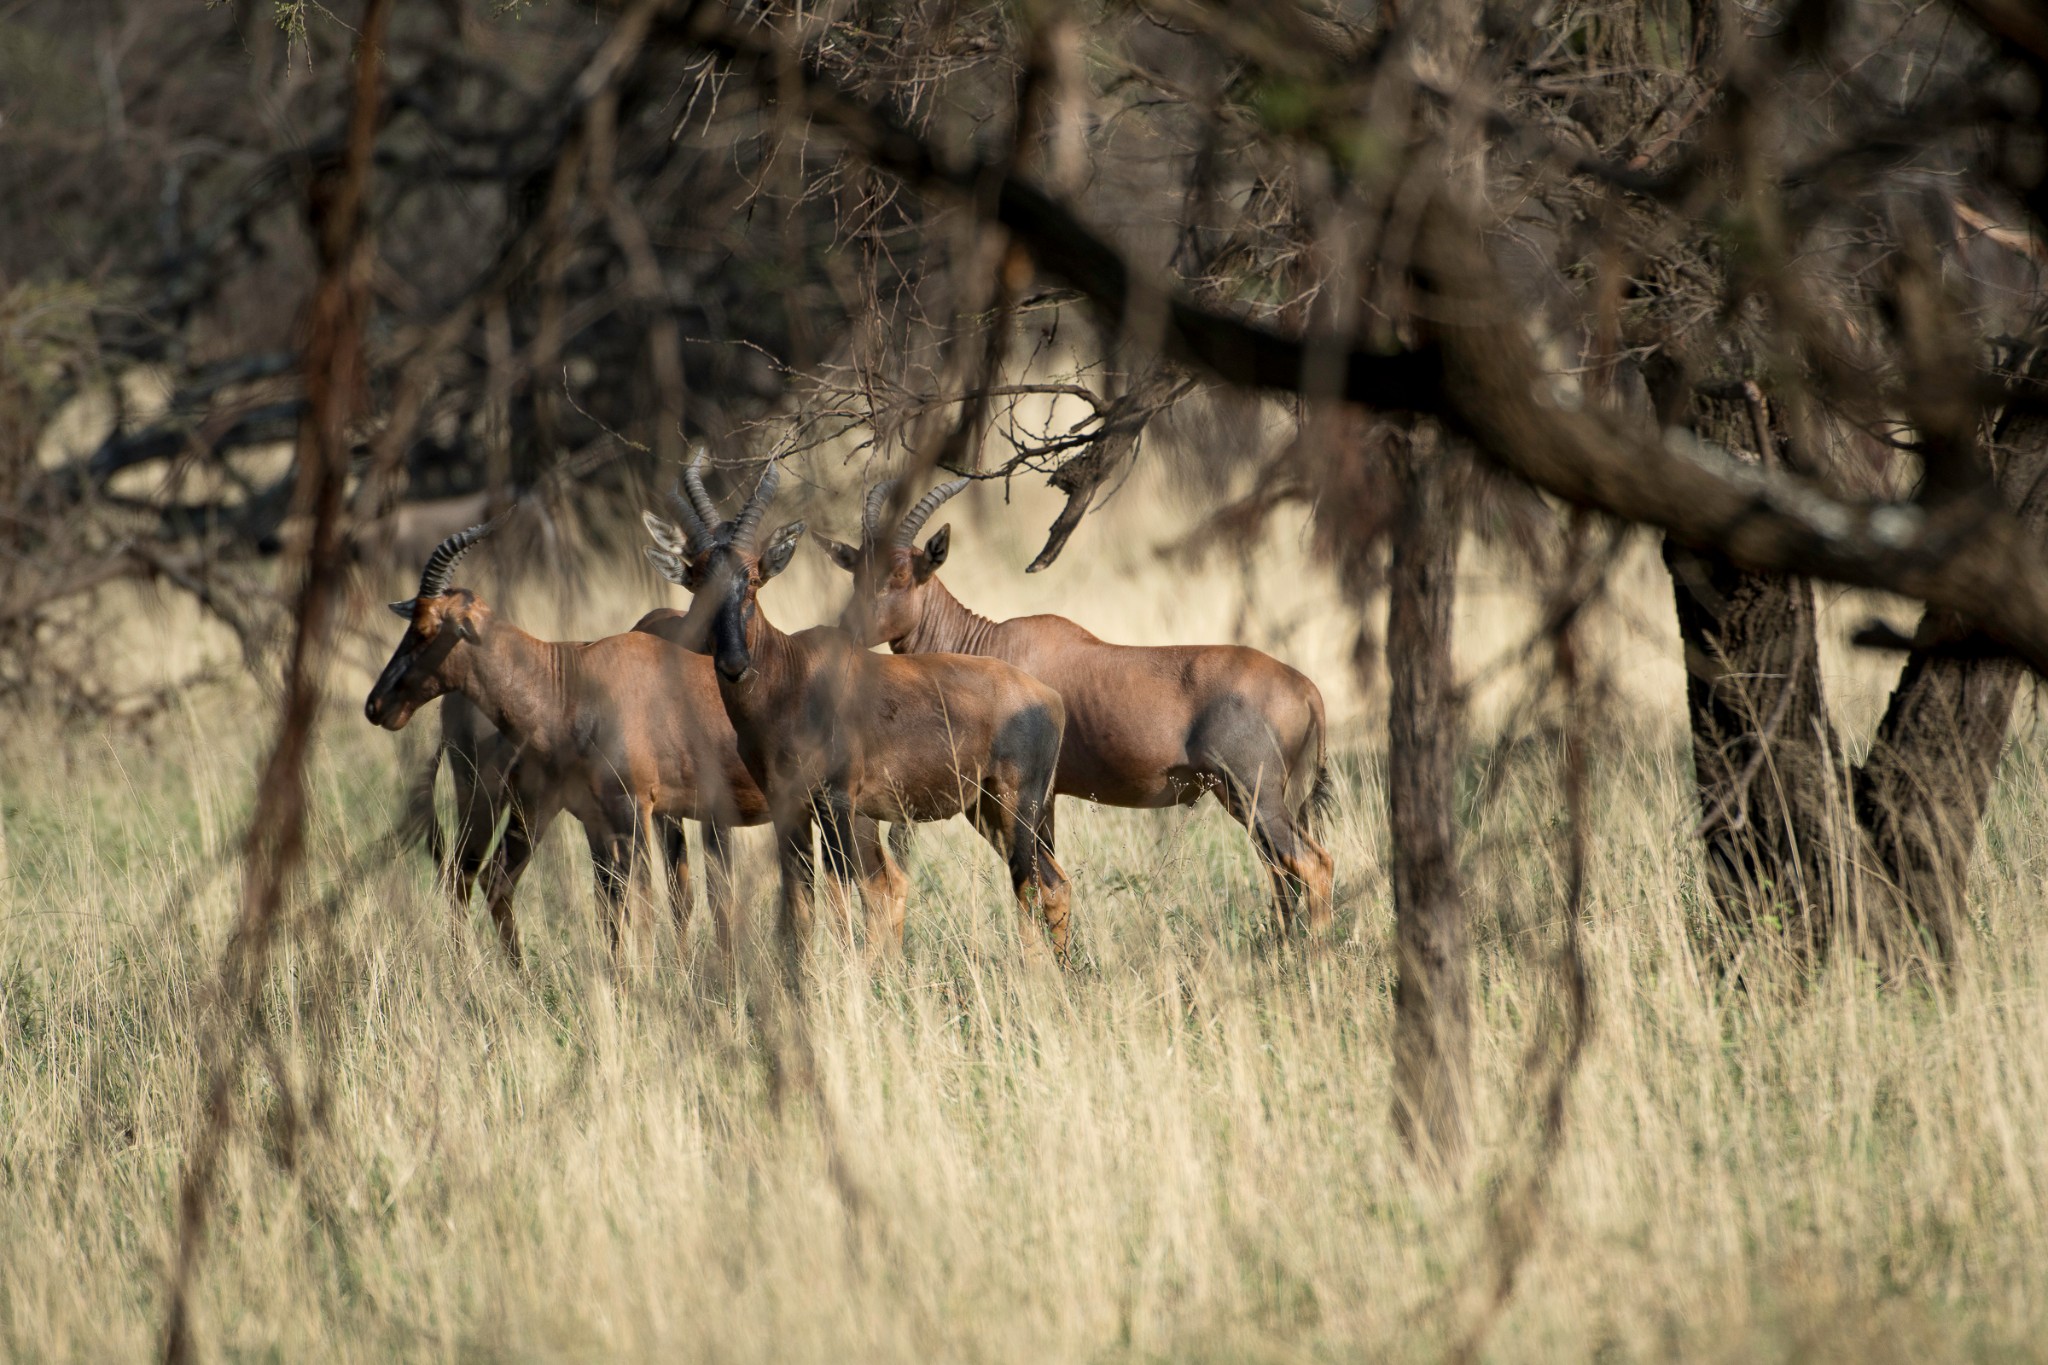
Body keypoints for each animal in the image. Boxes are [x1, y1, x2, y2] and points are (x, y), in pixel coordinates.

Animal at [647, 450, 1081, 970]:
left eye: (752, 579)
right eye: (696, 580)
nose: (733, 664)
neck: (793, 675)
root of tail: (1048, 696)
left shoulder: (835, 802)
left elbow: (842, 896)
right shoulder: (789, 807)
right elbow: (803, 902)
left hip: (1018, 806)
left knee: (1033, 884)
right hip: (986, 810)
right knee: (1054, 883)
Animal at [815, 474, 1343, 933]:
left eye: (903, 573)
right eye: (856, 571)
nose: (846, 632)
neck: (989, 642)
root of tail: (1308, 689)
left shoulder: (1032, 794)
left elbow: (1037, 884)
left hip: (1257, 796)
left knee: (1313, 866)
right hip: (1256, 801)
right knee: (1284, 877)